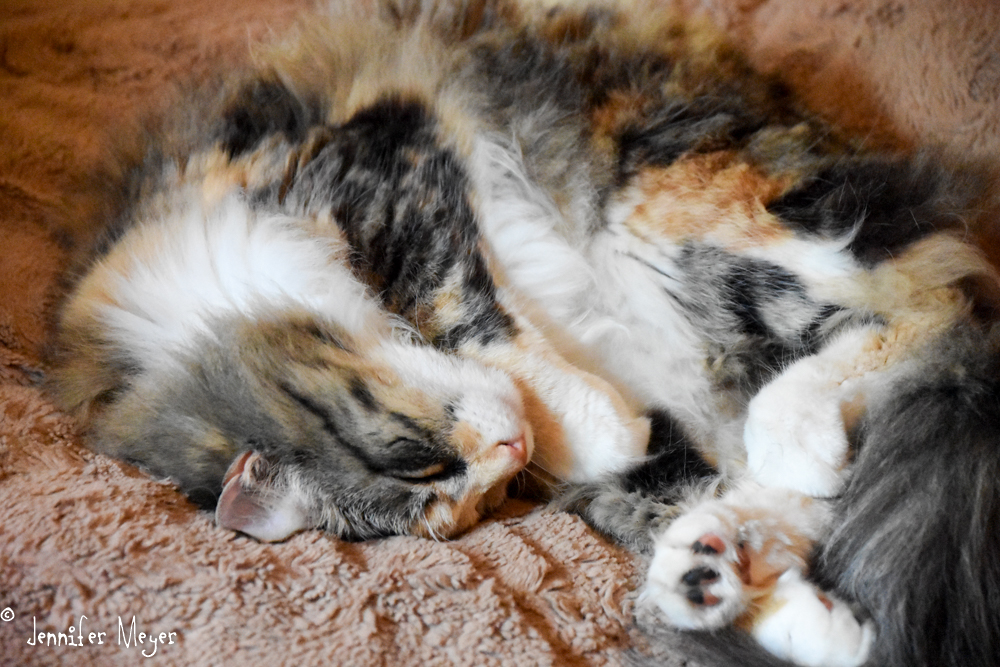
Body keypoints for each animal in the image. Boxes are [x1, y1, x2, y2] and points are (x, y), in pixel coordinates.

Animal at [47, 1, 1000, 667]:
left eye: (417, 463)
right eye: (458, 507)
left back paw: (792, 439)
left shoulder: (396, 158)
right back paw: (713, 575)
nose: (509, 455)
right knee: (785, 493)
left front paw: (591, 420)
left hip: (673, 209)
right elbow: (631, 460)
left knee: (937, 311)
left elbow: (471, 315)